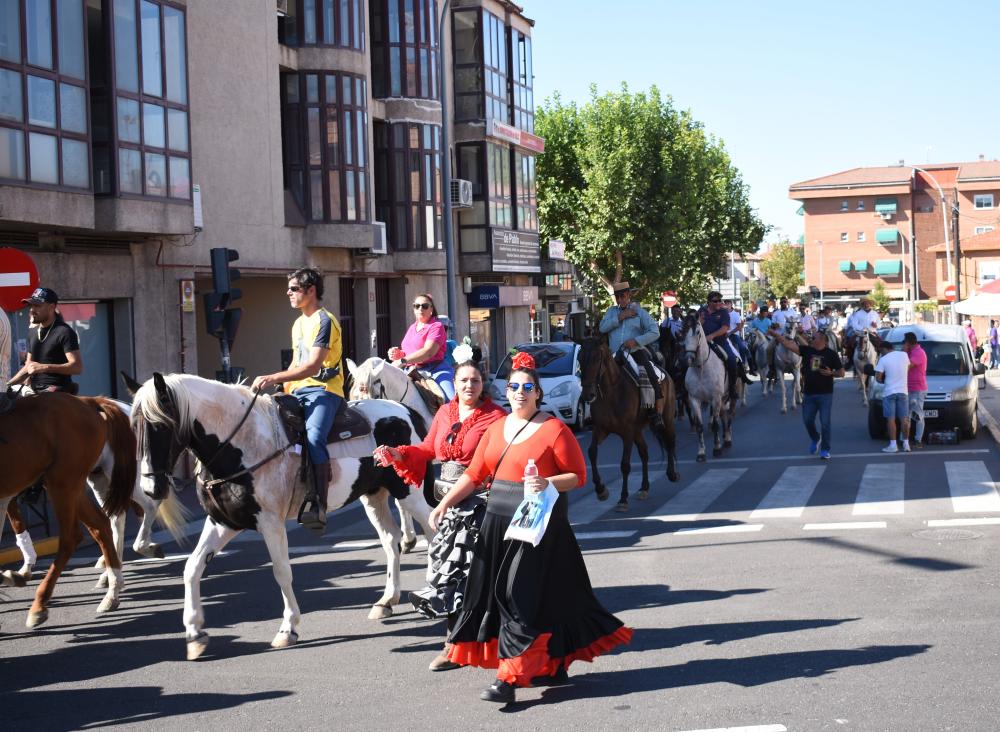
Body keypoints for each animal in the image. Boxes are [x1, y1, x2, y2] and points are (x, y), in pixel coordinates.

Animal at [0, 394, 135, 628]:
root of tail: (87, 402)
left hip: (63, 482)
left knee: (71, 538)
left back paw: (39, 605)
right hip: (72, 483)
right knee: (101, 524)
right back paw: (112, 591)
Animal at [130, 374, 434, 660]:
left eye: (161, 425)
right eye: (134, 427)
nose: (150, 489)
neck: (240, 443)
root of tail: (405, 411)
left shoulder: (270, 522)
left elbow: (281, 571)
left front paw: (288, 629)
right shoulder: (223, 523)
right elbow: (192, 568)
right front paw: (194, 634)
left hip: (410, 493)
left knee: (432, 532)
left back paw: (432, 591)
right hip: (374, 497)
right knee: (392, 541)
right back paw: (387, 601)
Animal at [580, 338, 680, 508]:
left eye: (596, 359)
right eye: (580, 359)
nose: (588, 395)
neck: (611, 392)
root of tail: (665, 372)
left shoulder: (627, 432)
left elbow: (625, 464)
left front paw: (623, 498)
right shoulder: (601, 429)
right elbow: (592, 452)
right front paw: (601, 490)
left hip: (666, 419)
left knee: (670, 441)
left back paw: (672, 474)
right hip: (638, 430)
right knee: (644, 452)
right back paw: (644, 487)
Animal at [684, 316, 732, 464]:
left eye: (698, 332)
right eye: (682, 331)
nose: (689, 358)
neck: (701, 369)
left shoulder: (715, 398)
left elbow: (716, 424)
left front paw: (717, 448)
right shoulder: (694, 399)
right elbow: (699, 426)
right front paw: (701, 453)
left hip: (727, 396)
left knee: (728, 415)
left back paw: (728, 439)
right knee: (723, 415)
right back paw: (726, 438)